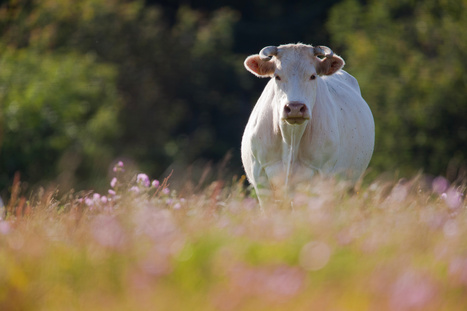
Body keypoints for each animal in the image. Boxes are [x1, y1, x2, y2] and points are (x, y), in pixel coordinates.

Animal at [243, 42, 374, 206]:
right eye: (277, 76)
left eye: (312, 76)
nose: (295, 107)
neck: (291, 140)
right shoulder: (260, 176)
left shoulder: (323, 176)